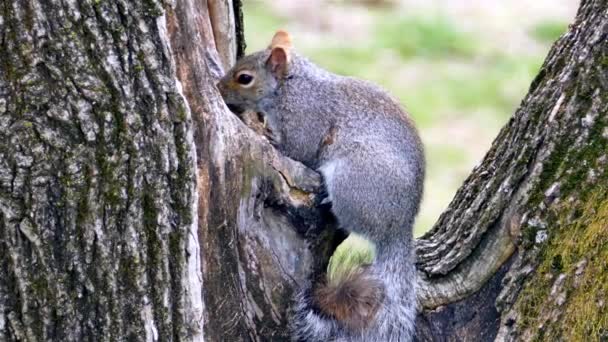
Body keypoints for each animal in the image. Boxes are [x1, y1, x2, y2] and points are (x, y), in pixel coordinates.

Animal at [217, 30, 422, 340]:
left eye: (244, 78)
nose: (218, 88)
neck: (292, 86)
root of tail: (398, 227)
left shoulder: (306, 120)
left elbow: (296, 149)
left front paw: (268, 135)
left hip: (353, 181)